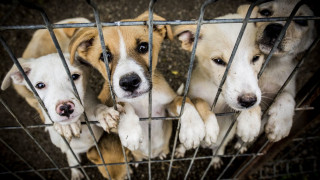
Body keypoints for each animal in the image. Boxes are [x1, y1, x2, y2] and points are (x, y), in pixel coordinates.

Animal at [68, 11, 214, 162]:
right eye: (105, 56)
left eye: (143, 47)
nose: (129, 82)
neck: (142, 100)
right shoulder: (110, 127)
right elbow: (122, 104)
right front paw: (129, 130)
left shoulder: (166, 110)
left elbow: (182, 101)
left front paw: (192, 127)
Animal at [174, 6, 264, 167]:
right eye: (218, 61)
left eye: (256, 58)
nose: (247, 101)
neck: (215, 90)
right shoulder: (190, 94)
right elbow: (198, 100)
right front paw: (206, 126)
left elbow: (255, 98)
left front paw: (250, 123)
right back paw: (181, 150)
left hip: (225, 140)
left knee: (219, 149)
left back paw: (217, 158)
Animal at [254, 0, 316, 142]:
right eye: (265, 12)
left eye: (302, 21)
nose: (274, 29)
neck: (270, 65)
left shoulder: (286, 87)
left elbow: (287, 96)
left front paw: (280, 124)